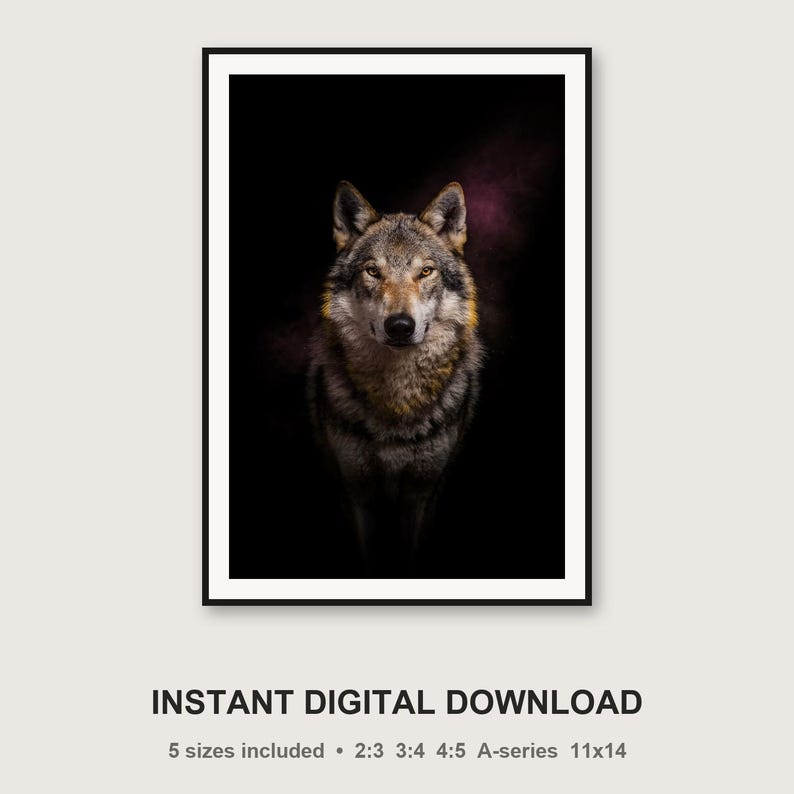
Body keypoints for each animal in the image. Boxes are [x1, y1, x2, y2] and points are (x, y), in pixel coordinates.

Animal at [308, 181, 483, 572]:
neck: (396, 398)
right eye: (373, 272)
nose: (400, 326)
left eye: (426, 272)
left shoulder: (422, 490)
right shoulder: (357, 490)